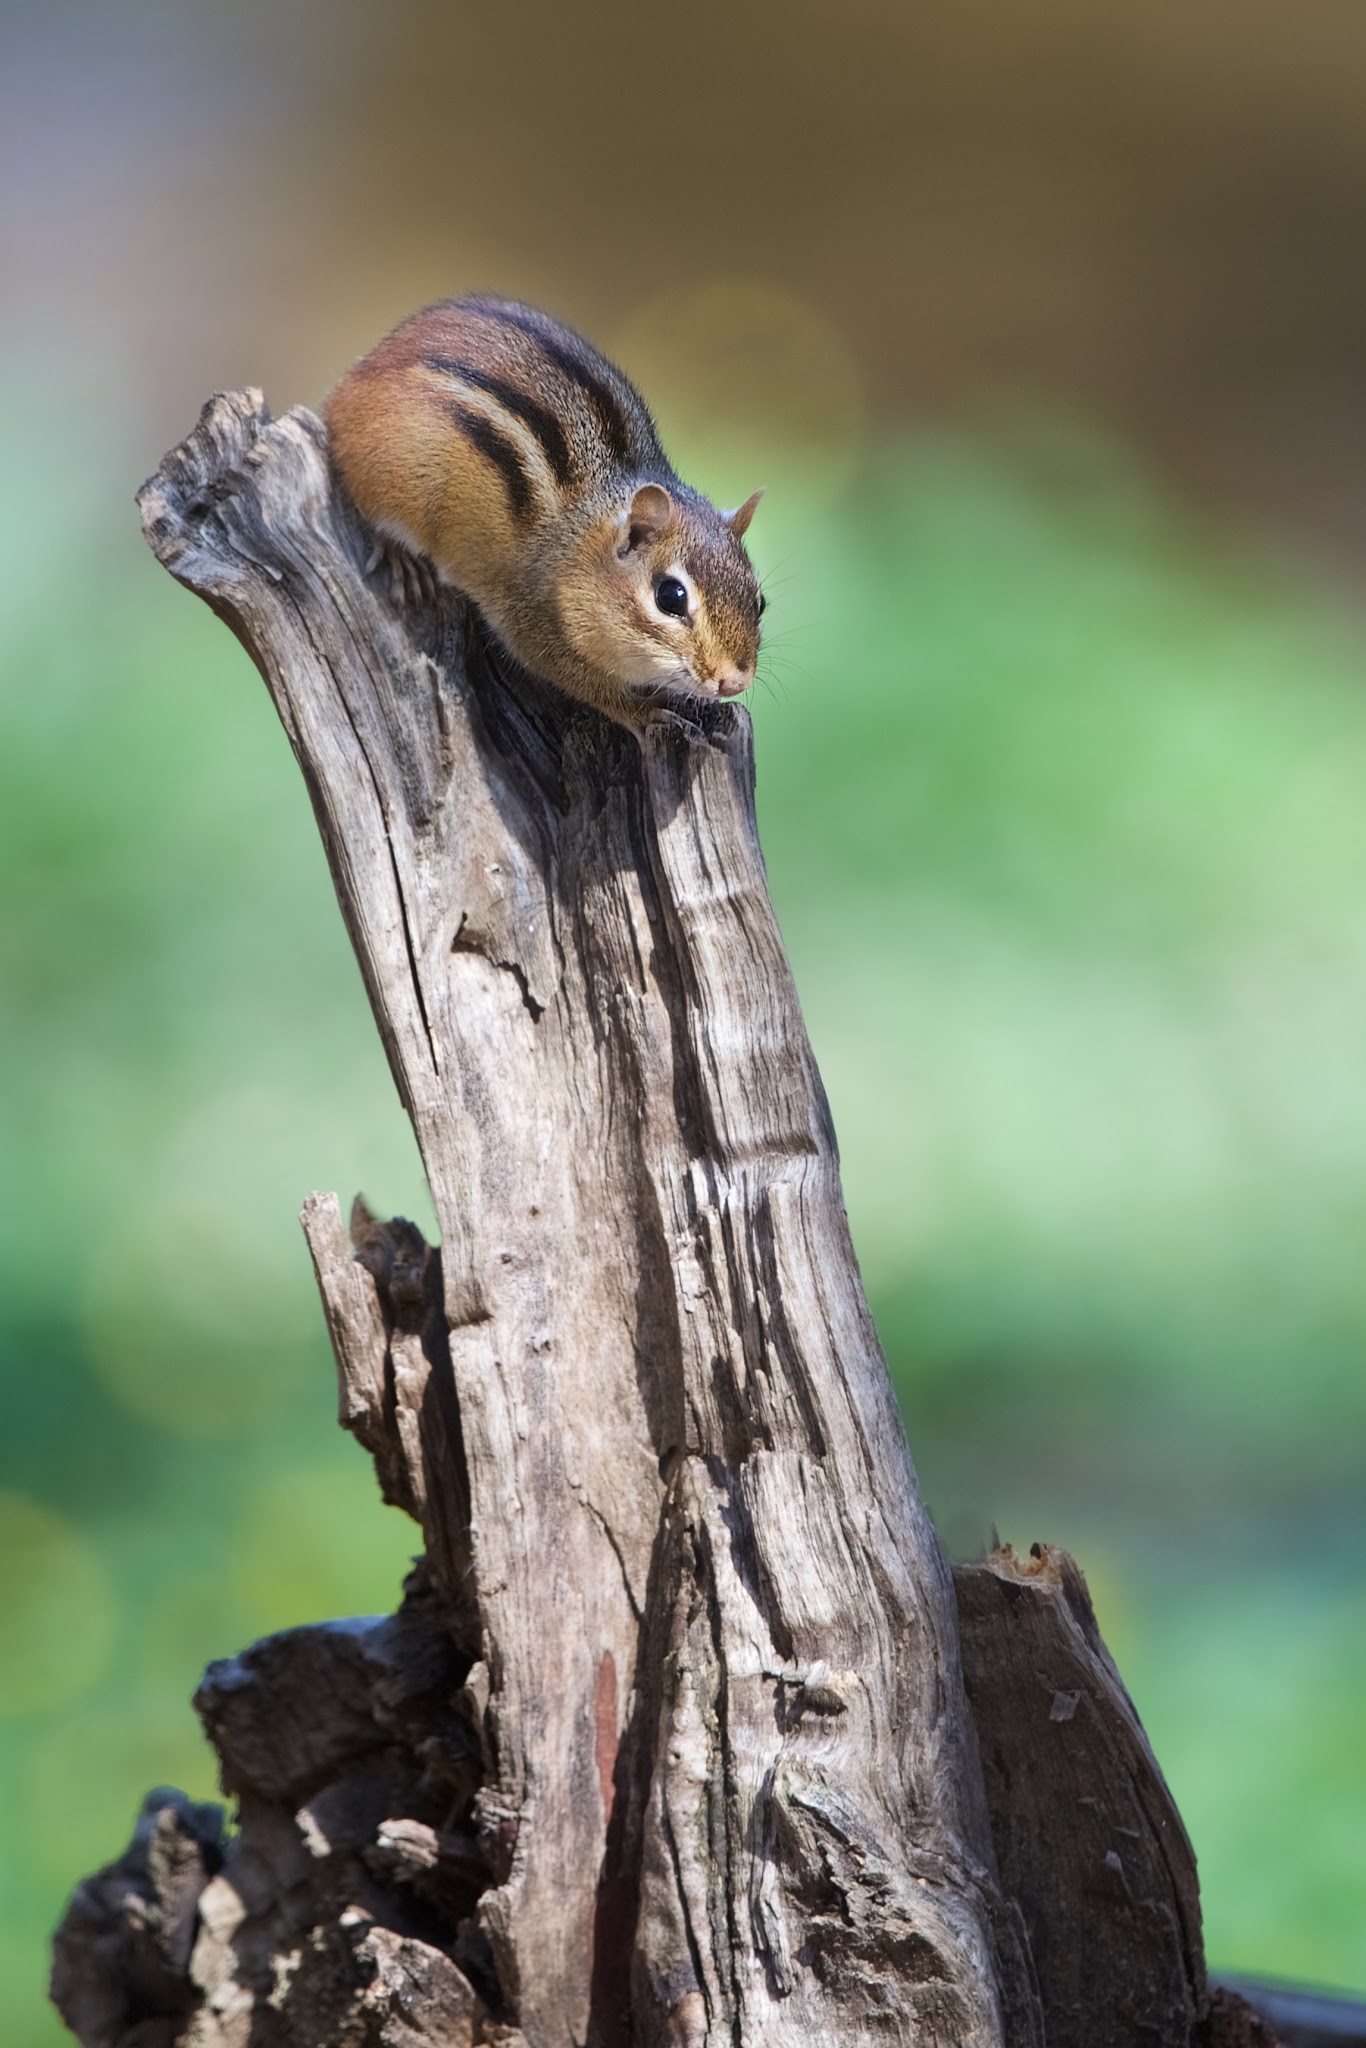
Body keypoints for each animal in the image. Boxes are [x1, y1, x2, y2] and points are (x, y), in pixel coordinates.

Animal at [324, 295, 765, 726]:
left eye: (759, 601)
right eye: (670, 598)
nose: (734, 682)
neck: (580, 541)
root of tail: (351, 382)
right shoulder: (534, 620)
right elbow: (580, 681)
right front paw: (643, 711)